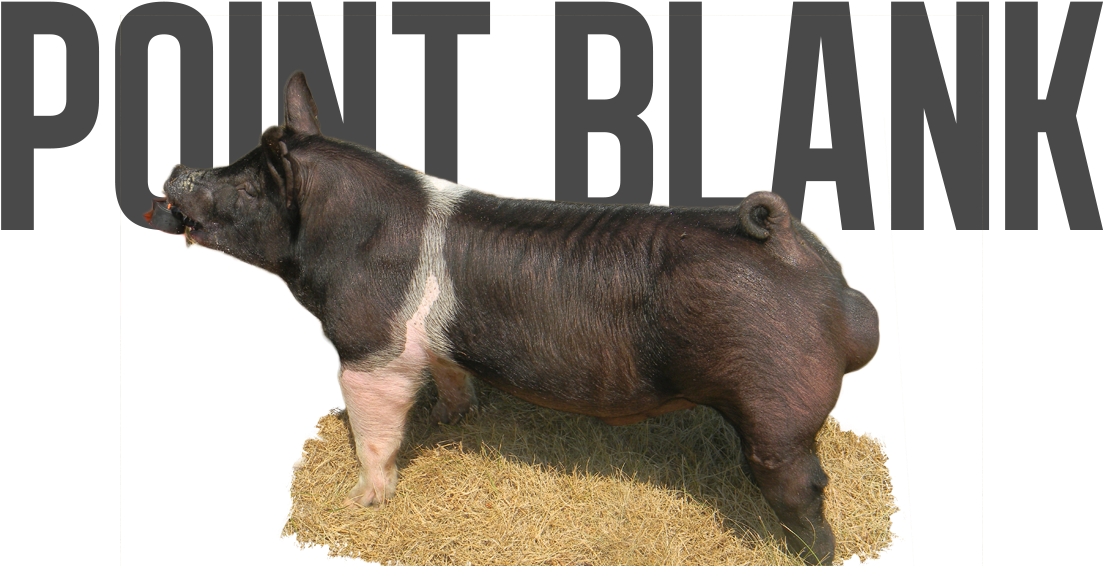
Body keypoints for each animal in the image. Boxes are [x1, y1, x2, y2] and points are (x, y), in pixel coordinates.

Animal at [146, 70, 880, 564]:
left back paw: (807, 552)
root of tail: (792, 250)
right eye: (233, 162)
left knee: (805, 487)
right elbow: (448, 375)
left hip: (775, 408)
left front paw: (362, 502)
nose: (175, 168)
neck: (340, 237)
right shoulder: (430, 346)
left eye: (246, 186)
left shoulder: (370, 345)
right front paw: (454, 419)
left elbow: (373, 430)